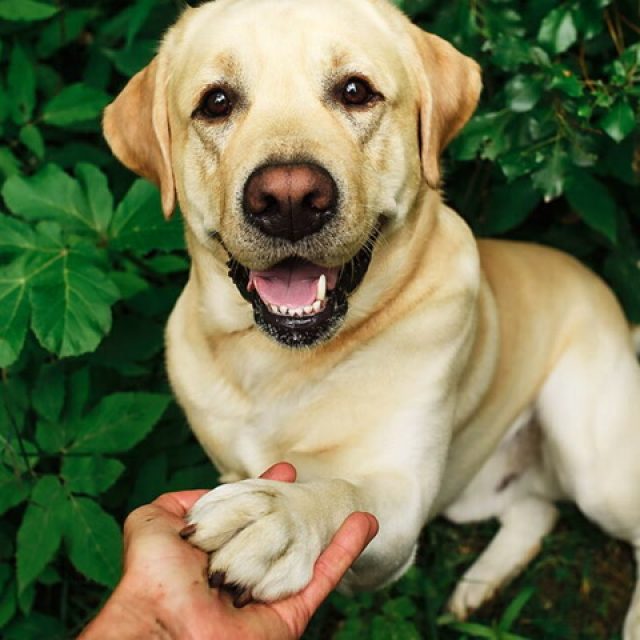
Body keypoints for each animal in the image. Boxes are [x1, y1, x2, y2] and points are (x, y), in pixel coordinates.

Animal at [103, 0, 640, 635]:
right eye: (215, 102)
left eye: (356, 91)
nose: (288, 199)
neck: (277, 364)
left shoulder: (401, 504)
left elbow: (346, 493)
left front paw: (280, 518)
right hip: (479, 493)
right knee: (536, 513)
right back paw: (476, 588)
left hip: (594, 463)